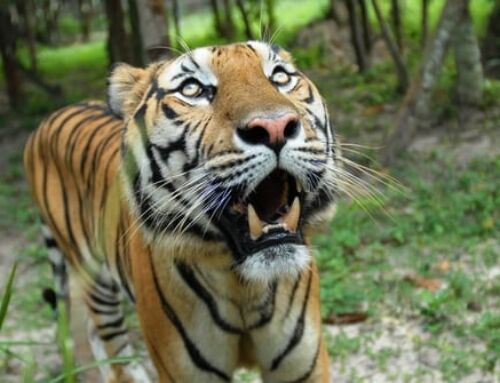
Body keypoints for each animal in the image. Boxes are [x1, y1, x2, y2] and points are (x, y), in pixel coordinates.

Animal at [25, 40, 342, 382]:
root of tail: (43, 123)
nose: (275, 127)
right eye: (192, 89)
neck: (244, 286)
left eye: (280, 77)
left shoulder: (302, 367)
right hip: (93, 276)